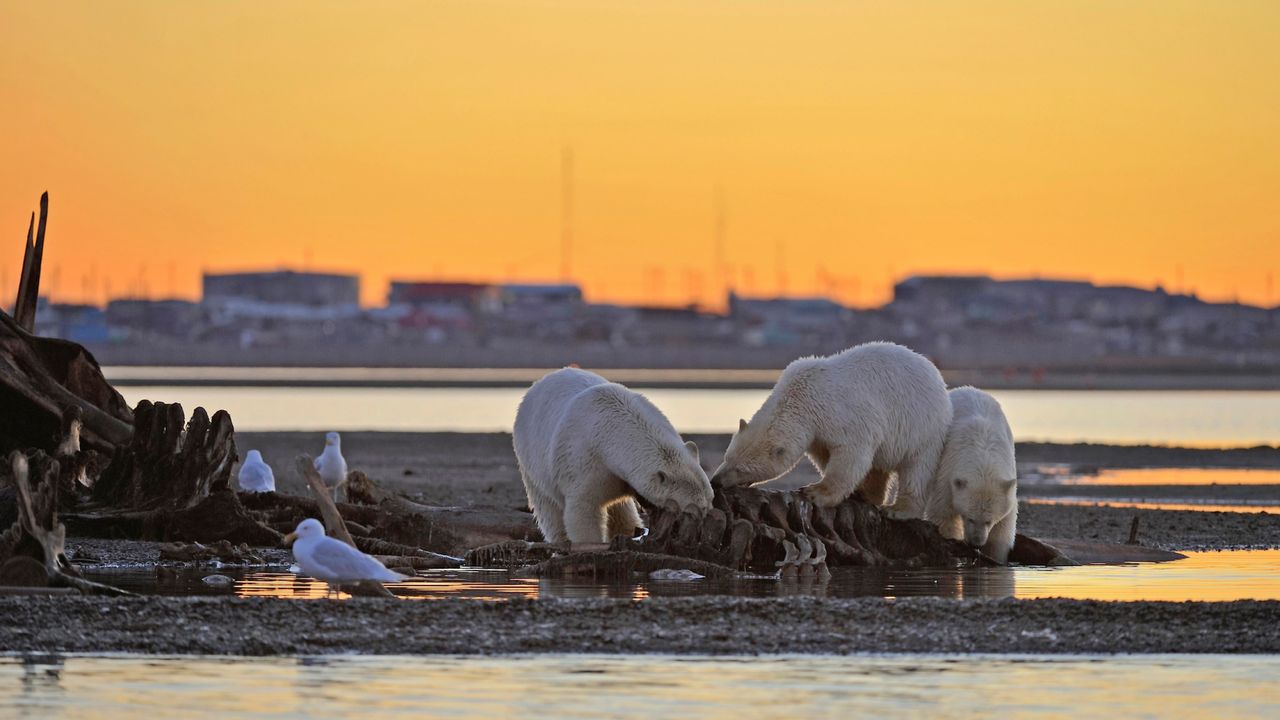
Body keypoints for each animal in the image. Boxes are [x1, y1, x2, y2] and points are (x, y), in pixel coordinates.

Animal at [513, 367, 714, 544]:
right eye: (691, 509)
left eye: (710, 498)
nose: (705, 519)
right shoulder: (585, 461)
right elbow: (583, 509)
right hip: (531, 459)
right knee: (548, 507)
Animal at [710, 341, 952, 510]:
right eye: (727, 457)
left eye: (740, 469)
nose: (716, 481)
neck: (802, 396)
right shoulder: (817, 432)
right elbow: (825, 454)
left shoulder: (843, 415)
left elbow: (851, 454)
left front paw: (814, 493)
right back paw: (868, 494)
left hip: (924, 429)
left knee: (917, 470)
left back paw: (899, 509)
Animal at [915, 386, 1018, 563]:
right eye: (970, 518)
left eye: (988, 521)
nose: (976, 543)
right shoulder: (947, 473)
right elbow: (944, 513)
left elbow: (1004, 526)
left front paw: (995, 557)